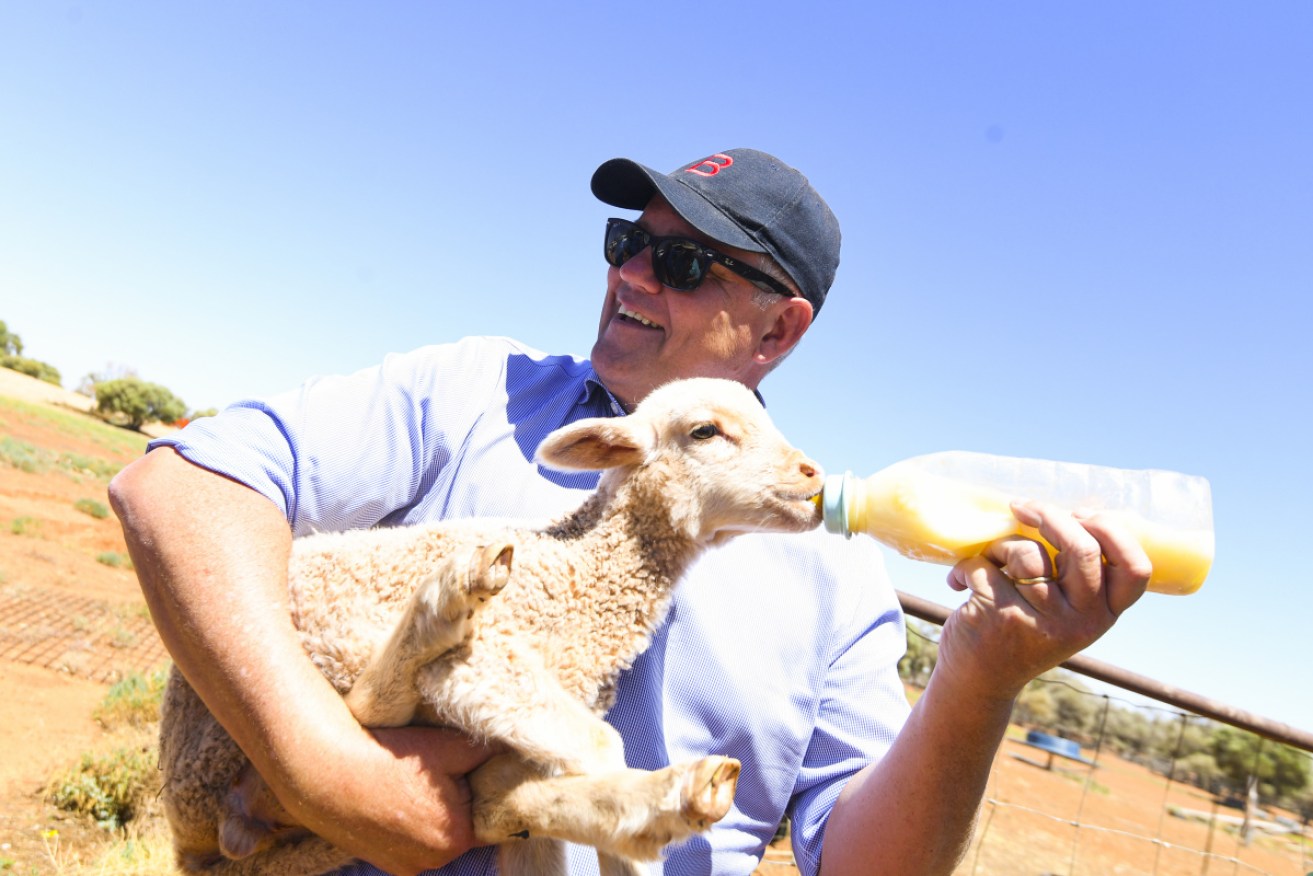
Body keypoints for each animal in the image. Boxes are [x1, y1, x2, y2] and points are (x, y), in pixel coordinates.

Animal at [158, 380, 824, 876]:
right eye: (706, 431)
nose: (814, 476)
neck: (574, 576)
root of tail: (192, 847)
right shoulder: (486, 661)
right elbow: (601, 745)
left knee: (490, 802)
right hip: (249, 715)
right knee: (367, 704)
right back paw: (446, 603)